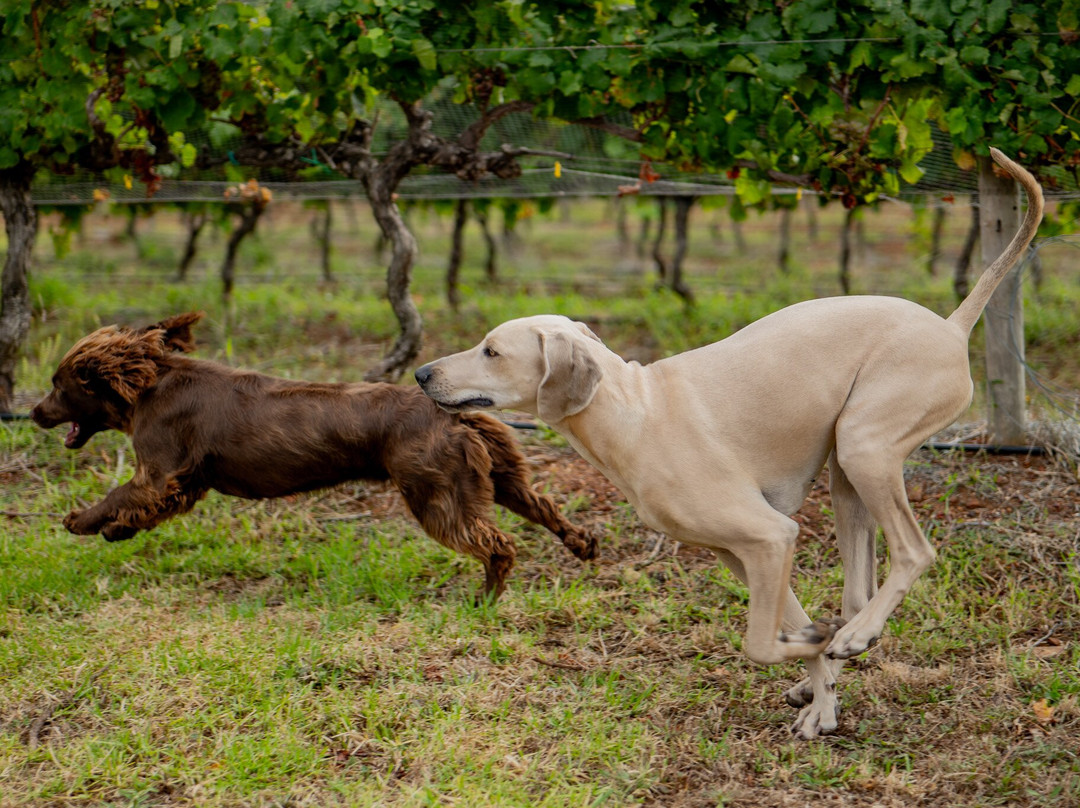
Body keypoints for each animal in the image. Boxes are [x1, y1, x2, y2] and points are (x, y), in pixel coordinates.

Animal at [31, 313, 600, 596]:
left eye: (58, 385)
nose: (35, 412)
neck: (150, 382)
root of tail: (451, 413)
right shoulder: (184, 481)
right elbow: (144, 509)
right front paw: (116, 531)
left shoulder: (159, 468)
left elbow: (121, 495)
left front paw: (81, 521)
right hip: (495, 478)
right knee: (544, 509)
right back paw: (584, 545)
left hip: (438, 495)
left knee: (498, 544)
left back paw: (486, 598)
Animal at [412, 147, 1036, 743]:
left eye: (491, 350)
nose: (420, 373)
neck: (633, 411)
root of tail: (952, 326)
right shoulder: (745, 552)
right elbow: (791, 624)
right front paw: (821, 682)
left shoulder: (770, 536)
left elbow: (761, 643)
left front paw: (822, 697)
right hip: (846, 474)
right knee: (858, 592)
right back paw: (854, 636)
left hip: (865, 448)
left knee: (914, 552)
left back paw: (855, 637)